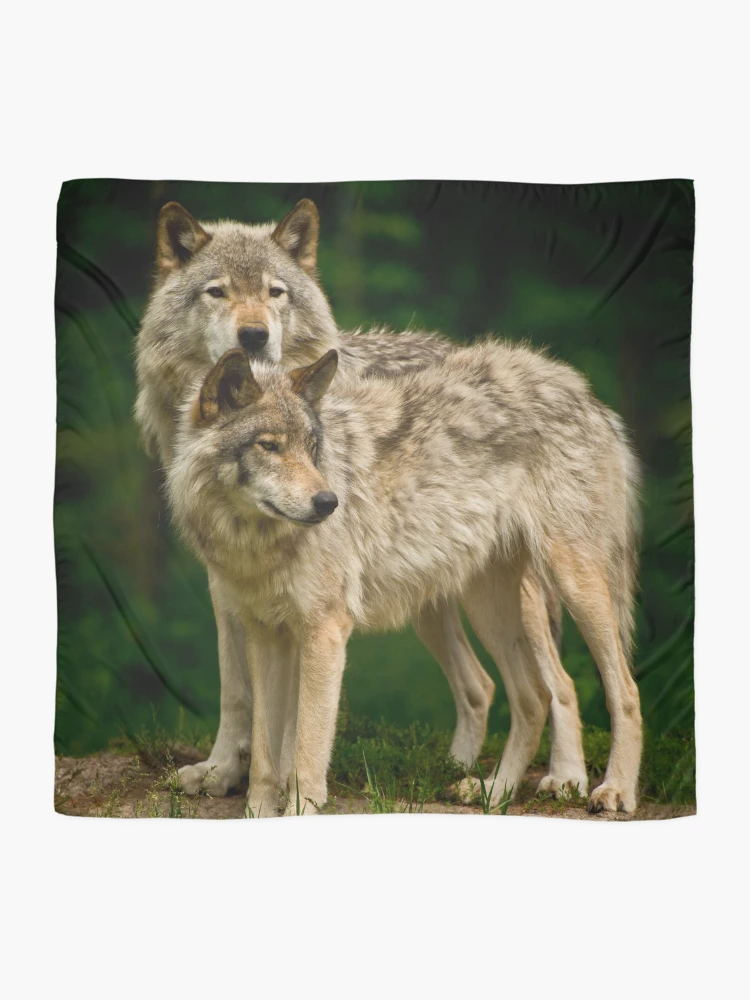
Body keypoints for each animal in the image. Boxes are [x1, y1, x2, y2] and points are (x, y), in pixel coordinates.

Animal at [135, 199, 589, 799]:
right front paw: (223, 770)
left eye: (276, 292)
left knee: (559, 682)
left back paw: (568, 778)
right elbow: (238, 689)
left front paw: (288, 783)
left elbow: (295, 711)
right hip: (432, 597)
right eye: (218, 292)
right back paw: (456, 770)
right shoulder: (230, 581)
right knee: (481, 686)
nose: (253, 336)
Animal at [167, 345, 642, 816]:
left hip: (573, 587)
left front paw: (299, 810)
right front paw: (259, 812)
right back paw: (495, 792)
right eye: (269, 446)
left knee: (622, 690)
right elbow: (265, 754)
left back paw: (611, 789)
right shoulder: (266, 634)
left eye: (312, 447)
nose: (328, 503)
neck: (255, 542)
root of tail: (583, 393)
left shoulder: (324, 632)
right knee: (533, 696)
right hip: (484, 609)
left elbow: (305, 750)